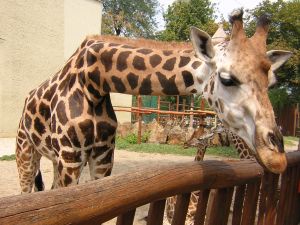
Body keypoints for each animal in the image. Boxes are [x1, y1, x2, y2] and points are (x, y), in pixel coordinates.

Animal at [15, 8, 290, 193]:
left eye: (271, 83)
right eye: (227, 78)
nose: (277, 157)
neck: (94, 82)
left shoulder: (103, 156)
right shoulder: (69, 155)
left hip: (54, 158)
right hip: (27, 151)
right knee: (26, 190)